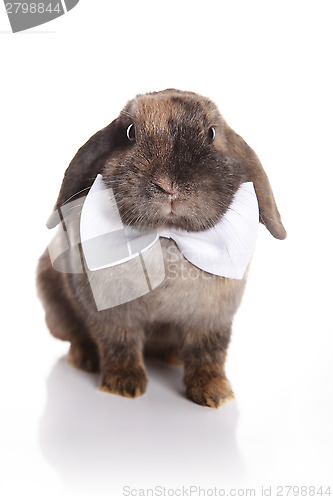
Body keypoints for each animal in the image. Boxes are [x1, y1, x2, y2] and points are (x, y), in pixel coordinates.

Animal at [37, 90, 286, 408]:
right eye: (130, 133)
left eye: (211, 133)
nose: (169, 185)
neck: (168, 236)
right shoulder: (113, 317)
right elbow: (119, 344)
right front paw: (123, 385)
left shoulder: (212, 319)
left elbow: (208, 353)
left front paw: (215, 393)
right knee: (77, 338)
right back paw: (85, 360)